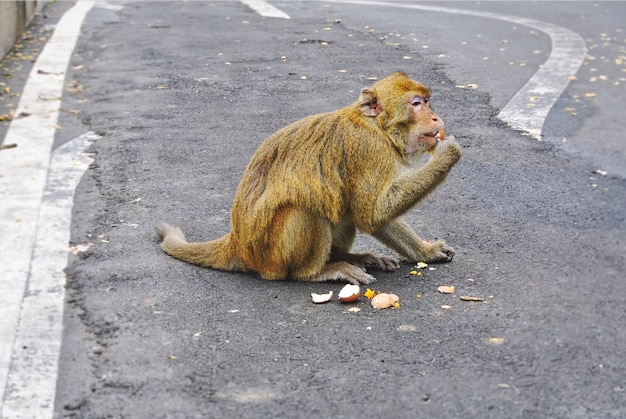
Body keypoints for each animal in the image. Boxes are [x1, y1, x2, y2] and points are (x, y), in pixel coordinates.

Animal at [156, 71, 458, 286]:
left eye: (427, 101)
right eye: (416, 104)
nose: (435, 117)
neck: (377, 127)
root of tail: (238, 242)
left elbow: (372, 215)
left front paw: (425, 252)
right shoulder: (368, 150)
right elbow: (370, 213)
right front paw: (447, 154)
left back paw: (348, 257)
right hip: (271, 256)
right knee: (305, 207)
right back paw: (319, 271)